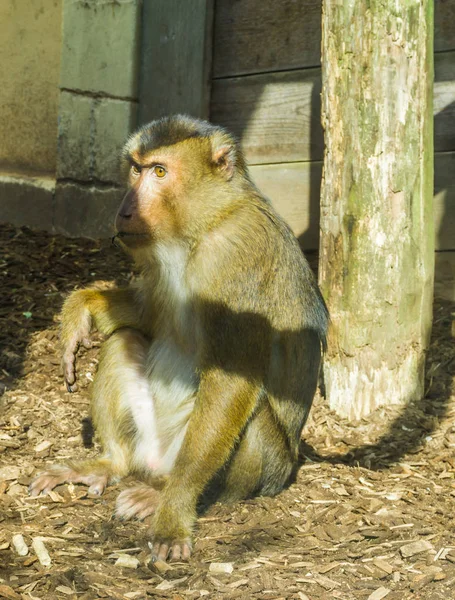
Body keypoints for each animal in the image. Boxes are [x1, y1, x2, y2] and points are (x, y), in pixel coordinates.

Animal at [30, 115, 330, 560]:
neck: (203, 227)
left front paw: (174, 511)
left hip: (260, 468)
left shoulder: (237, 256)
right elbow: (148, 317)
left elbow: (231, 381)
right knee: (124, 341)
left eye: (159, 172)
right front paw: (81, 306)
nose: (127, 208)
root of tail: (156, 464)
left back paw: (163, 492)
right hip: (148, 439)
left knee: (252, 414)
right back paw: (111, 464)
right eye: (136, 169)